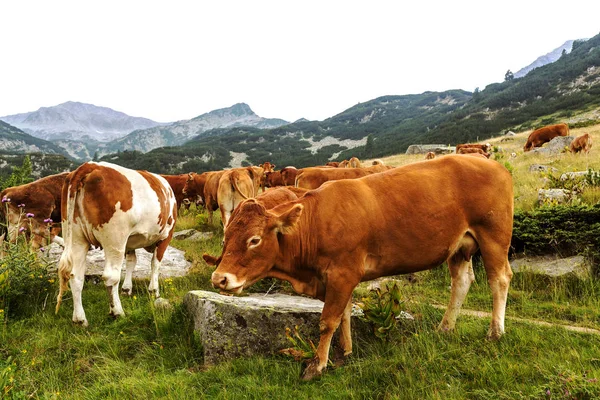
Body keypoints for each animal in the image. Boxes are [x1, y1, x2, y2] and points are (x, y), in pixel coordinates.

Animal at [54, 161, 177, 326]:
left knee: (76, 276)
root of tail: (90, 166)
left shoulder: (130, 242)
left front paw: (127, 289)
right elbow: (155, 264)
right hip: (115, 239)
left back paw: (80, 319)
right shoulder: (166, 236)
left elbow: (131, 262)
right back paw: (117, 312)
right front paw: (154, 291)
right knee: (110, 276)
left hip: (76, 238)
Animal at [205, 155, 510, 380]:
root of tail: (493, 165)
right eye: (226, 237)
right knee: (462, 281)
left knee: (500, 280)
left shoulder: (343, 273)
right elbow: (344, 315)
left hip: (494, 236)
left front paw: (318, 364)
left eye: (254, 240)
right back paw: (445, 327)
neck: (316, 221)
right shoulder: (338, 278)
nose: (219, 279)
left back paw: (495, 332)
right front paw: (346, 350)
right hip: (459, 246)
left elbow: (328, 320)